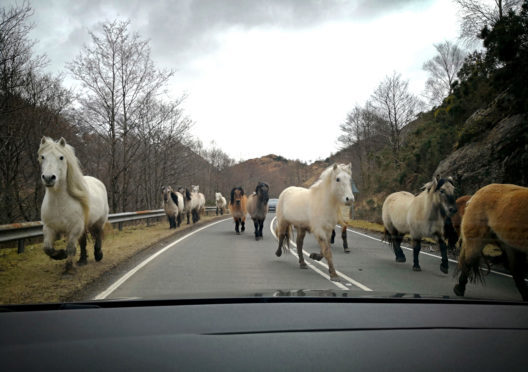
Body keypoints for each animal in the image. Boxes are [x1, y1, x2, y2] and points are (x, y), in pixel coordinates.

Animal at [38, 135, 109, 272]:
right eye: (43, 157)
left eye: (61, 157)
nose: (48, 178)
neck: (59, 203)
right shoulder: (49, 228)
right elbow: (47, 249)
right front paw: (61, 254)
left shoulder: (75, 228)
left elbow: (71, 248)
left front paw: (69, 269)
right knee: (83, 241)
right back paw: (82, 260)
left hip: (99, 222)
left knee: (97, 235)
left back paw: (98, 255)